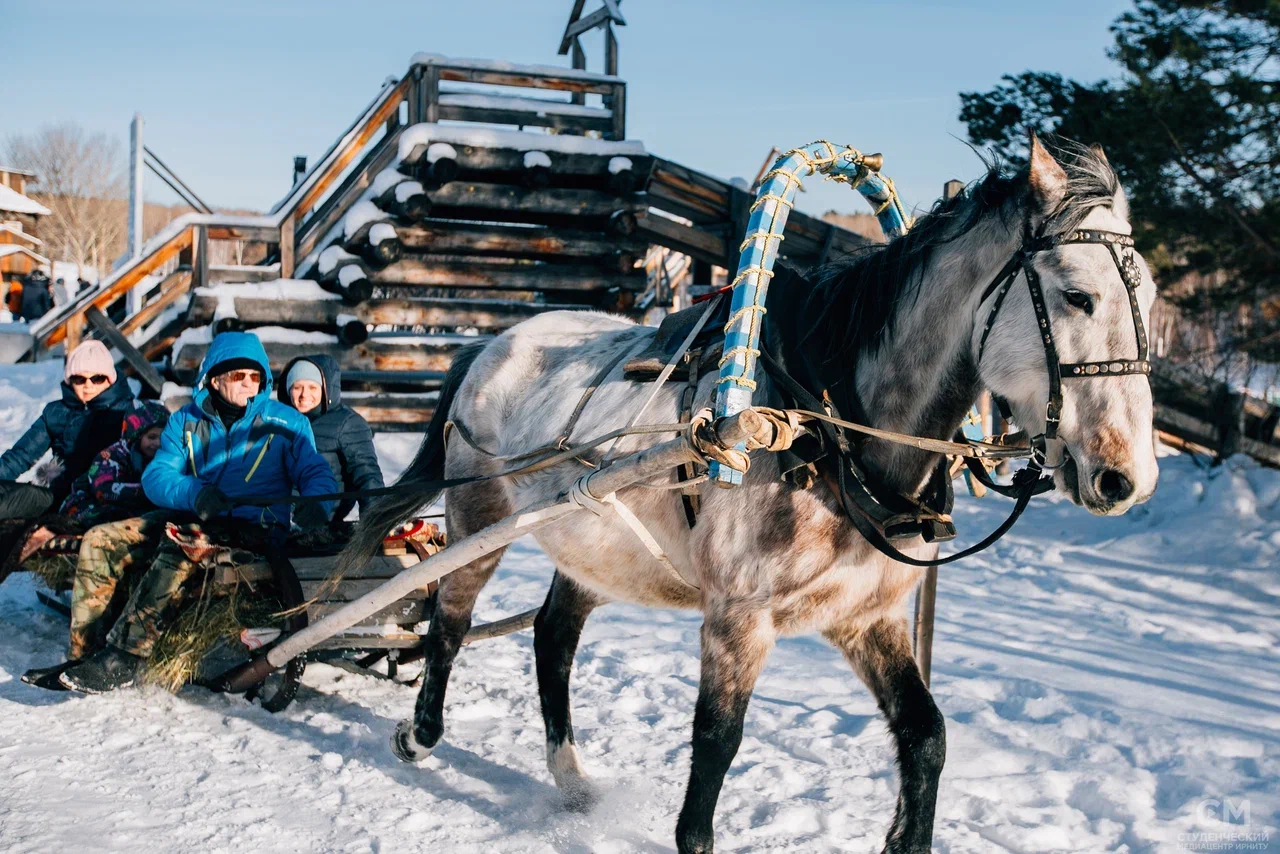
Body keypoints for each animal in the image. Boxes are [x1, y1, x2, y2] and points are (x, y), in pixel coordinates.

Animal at [340, 136, 1162, 850]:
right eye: (1079, 296)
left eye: (1150, 299)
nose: (1127, 477)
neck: (825, 429)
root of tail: (493, 342)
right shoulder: (737, 621)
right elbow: (715, 752)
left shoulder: (867, 617)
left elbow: (926, 736)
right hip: (478, 516)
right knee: (449, 624)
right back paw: (420, 732)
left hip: (594, 545)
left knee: (553, 637)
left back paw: (571, 780)